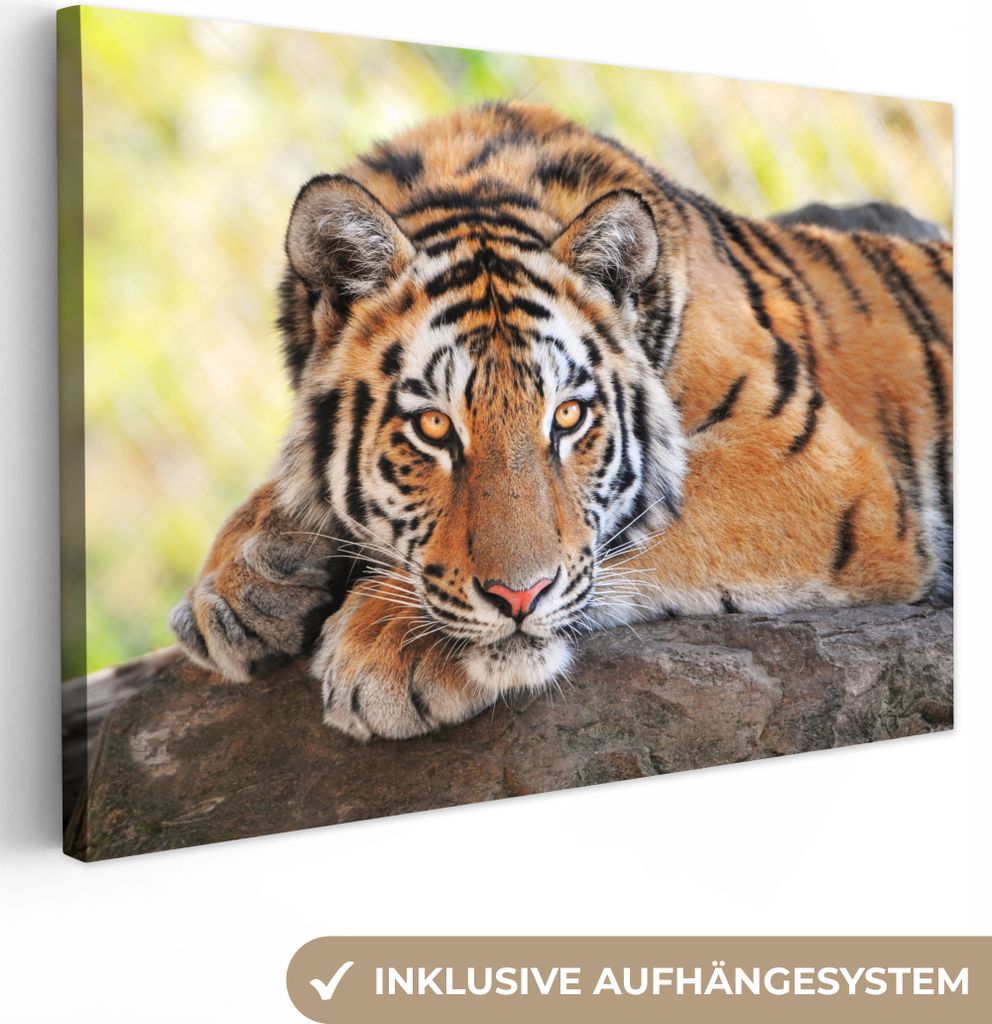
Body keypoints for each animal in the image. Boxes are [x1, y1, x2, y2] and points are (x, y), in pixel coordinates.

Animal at [168, 101, 952, 741]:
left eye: (568, 417)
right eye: (434, 429)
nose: (519, 598)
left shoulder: (817, 468)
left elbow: (632, 530)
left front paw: (387, 643)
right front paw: (237, 584)